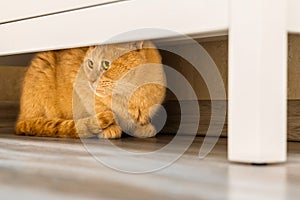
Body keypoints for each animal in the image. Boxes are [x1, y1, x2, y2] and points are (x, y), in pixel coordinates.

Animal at [15, 41, 166, 138]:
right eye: (90, 63)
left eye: (106, 64)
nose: (91, 80)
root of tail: (20, 119)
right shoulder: (80, 86)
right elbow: (99, 109)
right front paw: (109, 129)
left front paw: (143, 128)